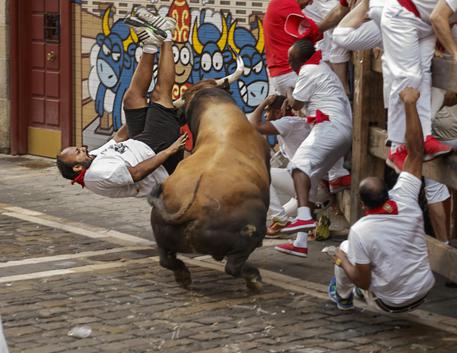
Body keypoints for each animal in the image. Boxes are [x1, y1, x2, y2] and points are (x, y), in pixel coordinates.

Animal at [150, 87, 268, 288]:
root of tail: (193, 207)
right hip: (248, 236)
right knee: (233, 266)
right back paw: (254, 280)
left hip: (162, 236)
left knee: (166, 260)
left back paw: (183, 276)